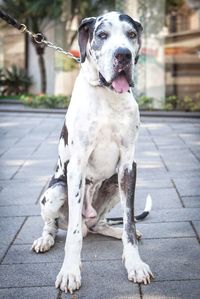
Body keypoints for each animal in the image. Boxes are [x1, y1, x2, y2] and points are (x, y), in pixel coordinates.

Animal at [31, 11, 153, 292]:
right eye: (102, 35)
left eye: (131, 34)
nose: (123, 55)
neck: (108, 95)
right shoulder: (76, 166)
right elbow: (73, 235)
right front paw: (70, 272)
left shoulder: (129, 166)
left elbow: (129, 221)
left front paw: (135, 263)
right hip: (55, 192)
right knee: (56, 225)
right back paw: (46, 239)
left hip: (114, 184)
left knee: (101, 223)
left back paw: (115, 231)